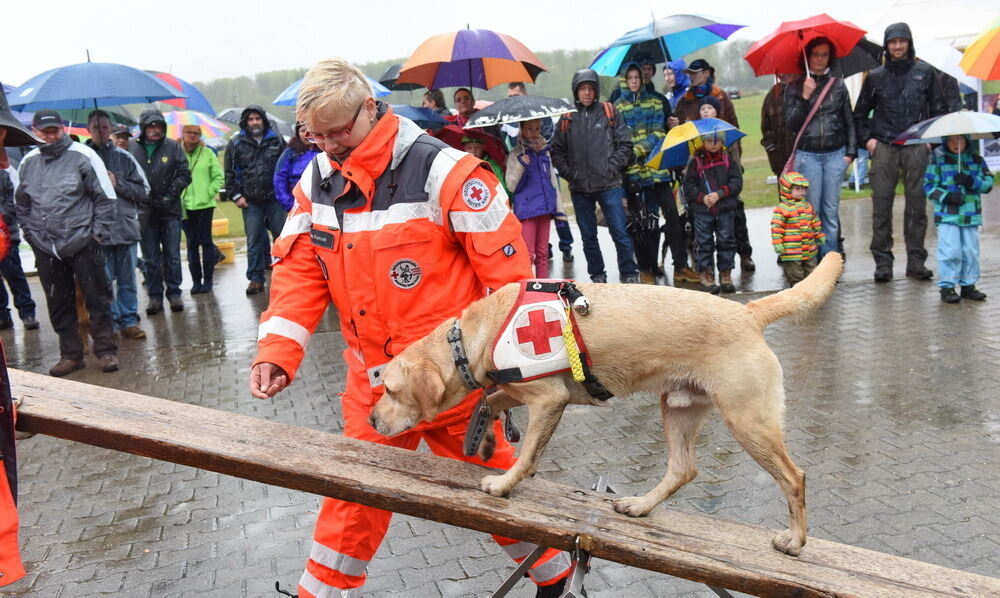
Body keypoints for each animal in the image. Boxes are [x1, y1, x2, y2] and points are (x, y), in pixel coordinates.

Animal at [372, 254, 840, 556]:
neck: (477, 334)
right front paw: (484, 437)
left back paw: (795, 540)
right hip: (678, 409)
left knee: (794, 478)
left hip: (748, 422)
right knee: (683, 469)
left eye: (391, 390)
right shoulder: (522, 388)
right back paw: (640, 506)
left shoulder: (550, 399)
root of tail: (748, 313)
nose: (373, 419)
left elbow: (525, 455)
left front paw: (504, 484)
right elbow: (491, 397)